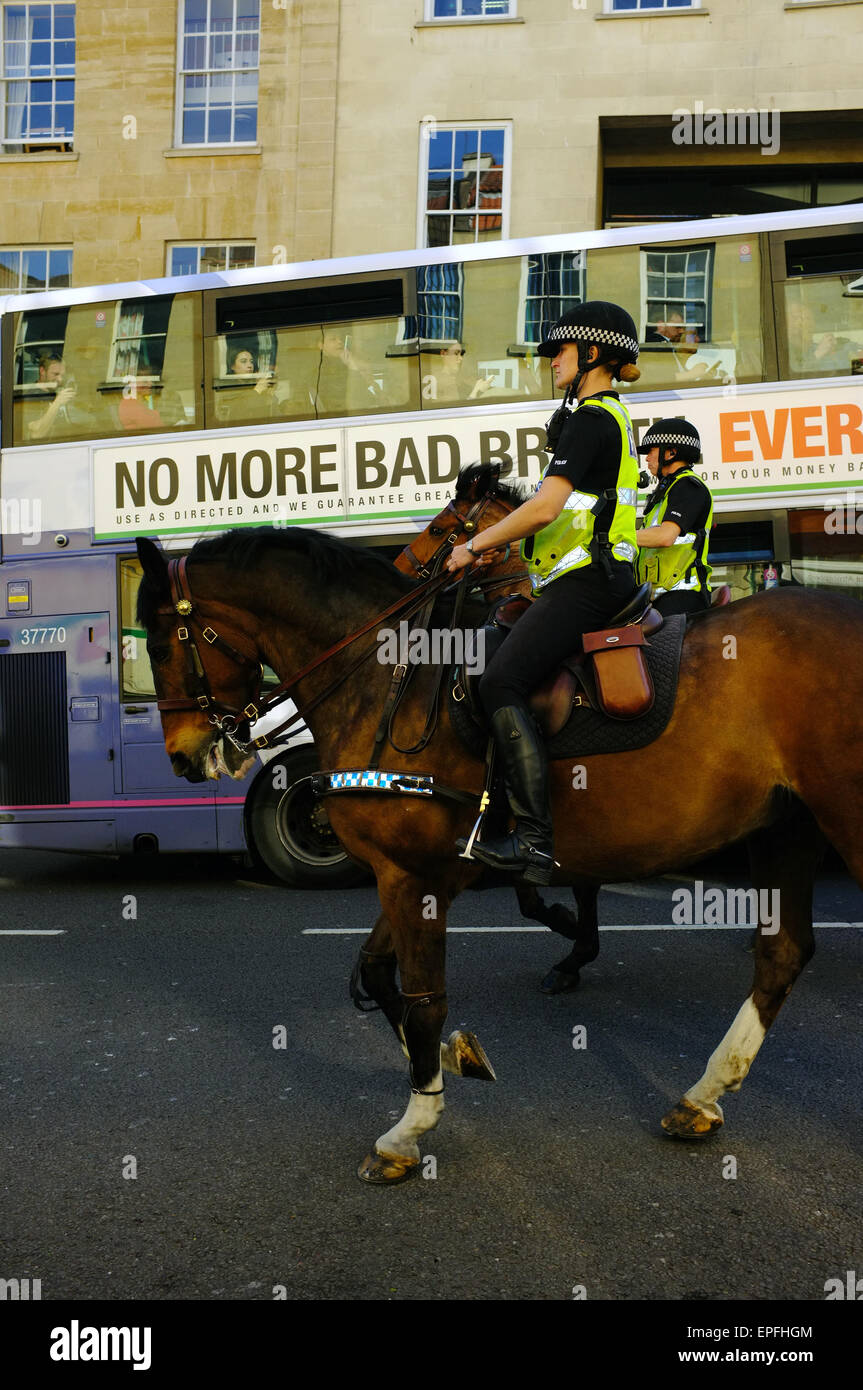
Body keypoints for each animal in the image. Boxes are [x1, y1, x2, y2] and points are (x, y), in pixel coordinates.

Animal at [132, 528, 861, 1184]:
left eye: (162, 642)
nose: (183, 757)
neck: (388, 681)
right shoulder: (417, 871)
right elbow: (377, 976)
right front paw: (451, 1060)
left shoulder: (411, 877)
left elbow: (423, 996)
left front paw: (411, 1126)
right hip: (784, 829)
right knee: (782, 954)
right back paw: (701, 1096)